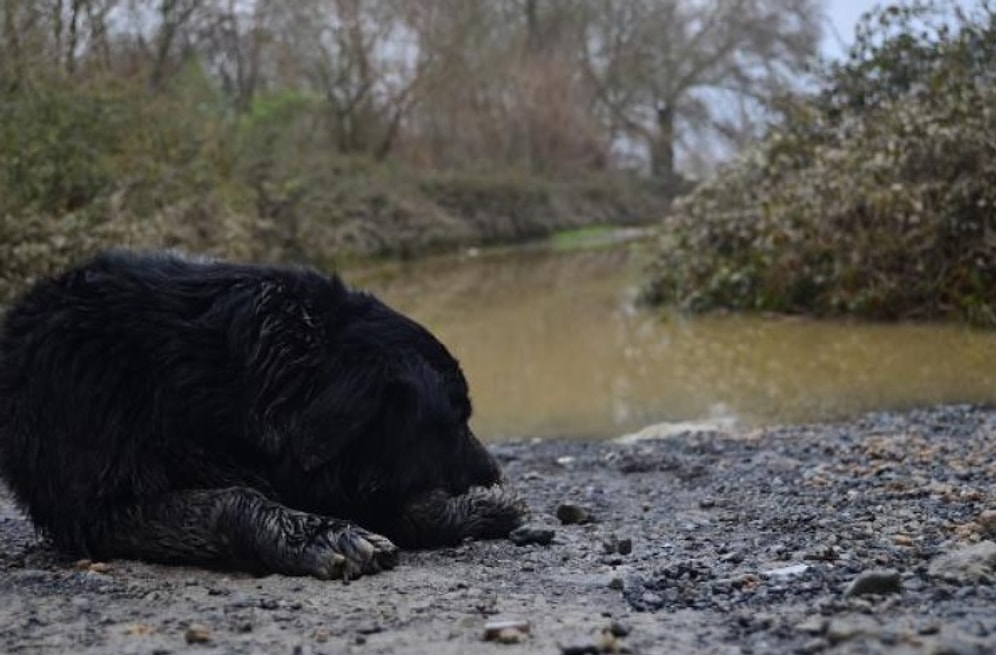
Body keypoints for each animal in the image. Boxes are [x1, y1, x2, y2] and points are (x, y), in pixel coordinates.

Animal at [0, 251, 524, 580]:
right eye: (455, 417)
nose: (495, 472)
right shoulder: (100, 512)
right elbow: (232, 501)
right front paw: (320, 535)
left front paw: (472, 508)